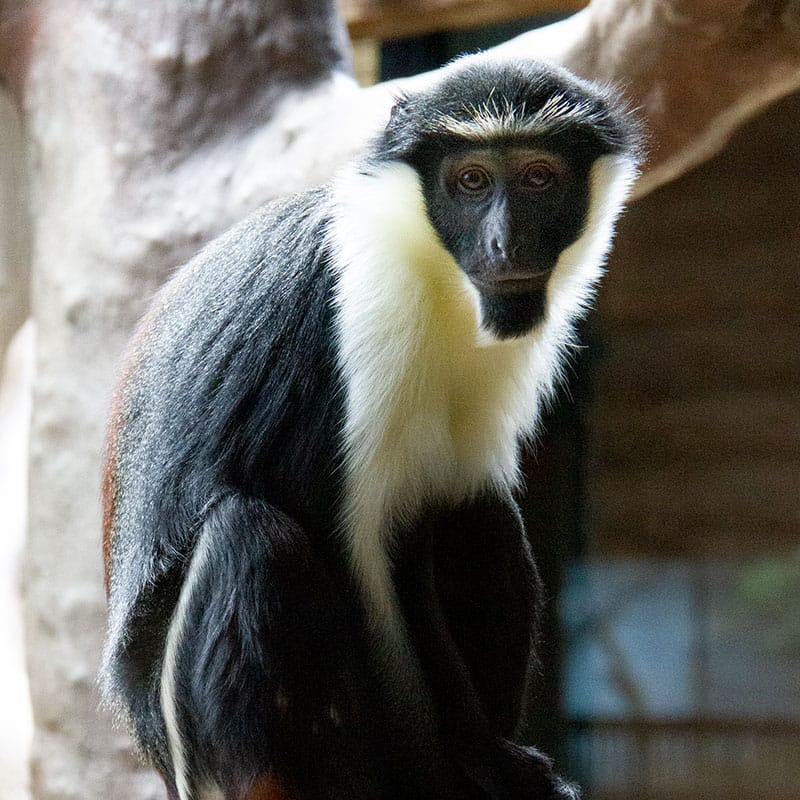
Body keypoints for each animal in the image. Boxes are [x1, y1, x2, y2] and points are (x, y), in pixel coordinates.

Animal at [100, 51, 640, 800]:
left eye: (539, 177)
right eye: (470, 181)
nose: (505, 244)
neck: (435, 272)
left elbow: (432, 519)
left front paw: (485, 759)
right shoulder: (353, 315)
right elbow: (352, 552)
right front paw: (455, 769)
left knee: (477, 511)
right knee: (250, 535)